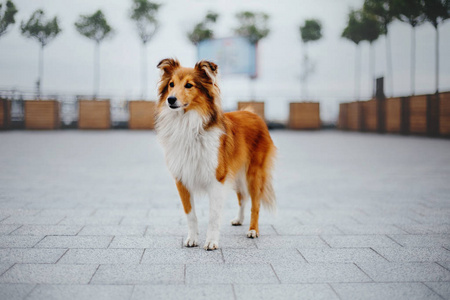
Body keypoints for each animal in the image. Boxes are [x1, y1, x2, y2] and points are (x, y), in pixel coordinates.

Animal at [155, 57, 276, 250]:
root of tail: (251, 113)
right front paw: (192, 239)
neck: (189, 125)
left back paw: (252, 230)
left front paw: (211, 242)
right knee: (242, 197)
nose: (170, 99)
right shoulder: (182, 179)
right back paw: (239, 219)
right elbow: (190, 214)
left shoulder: (217, 179)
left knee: (255, 203)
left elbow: (213, 216)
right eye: (171, 84)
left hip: (253, 173)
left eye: (189, 85)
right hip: (236, 173)